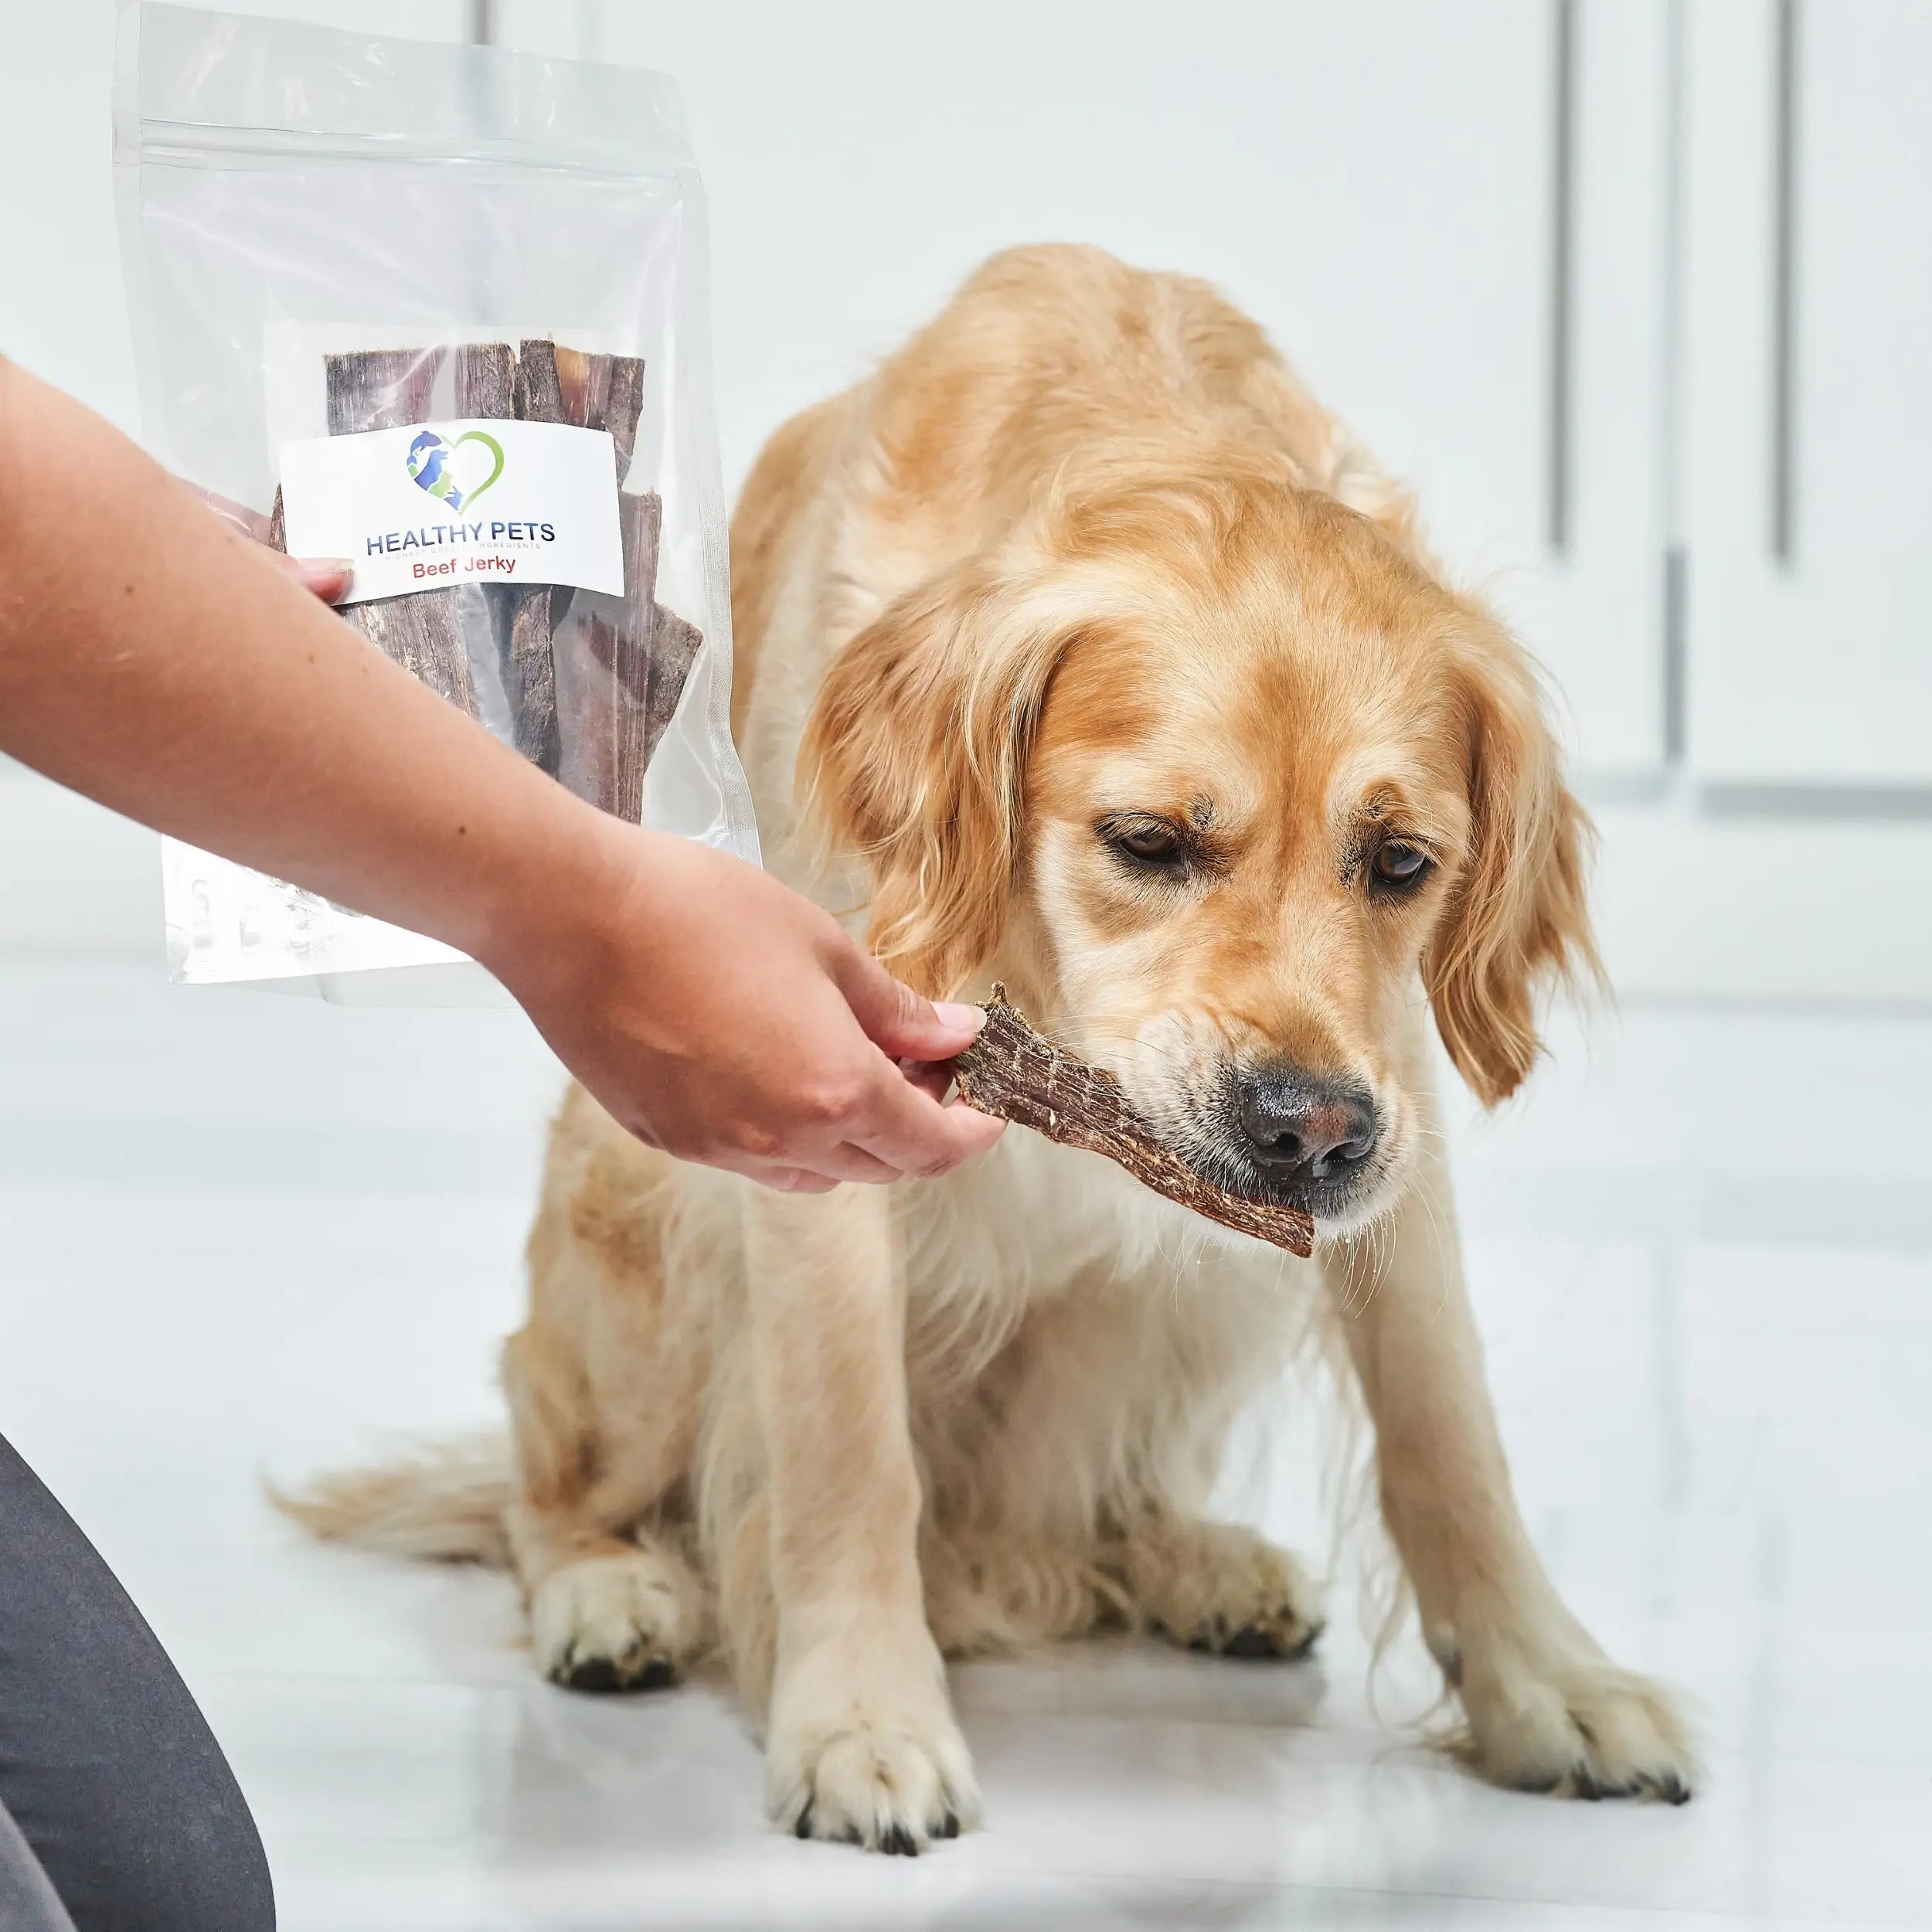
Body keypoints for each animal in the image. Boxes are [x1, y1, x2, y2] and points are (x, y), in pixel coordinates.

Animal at [286, 249, 1692, 1847]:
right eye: (1146, 842)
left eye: (1402, 864)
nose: (1310, 1132)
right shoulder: (813, 1090)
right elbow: (846, 1457)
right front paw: (861, 1721)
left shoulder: (1393, 1100)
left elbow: (1449, 1427)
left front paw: (1552, 1686)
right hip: (640, 1217)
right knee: (550, 1476)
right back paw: (612, 1591)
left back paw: (1198, 1564)